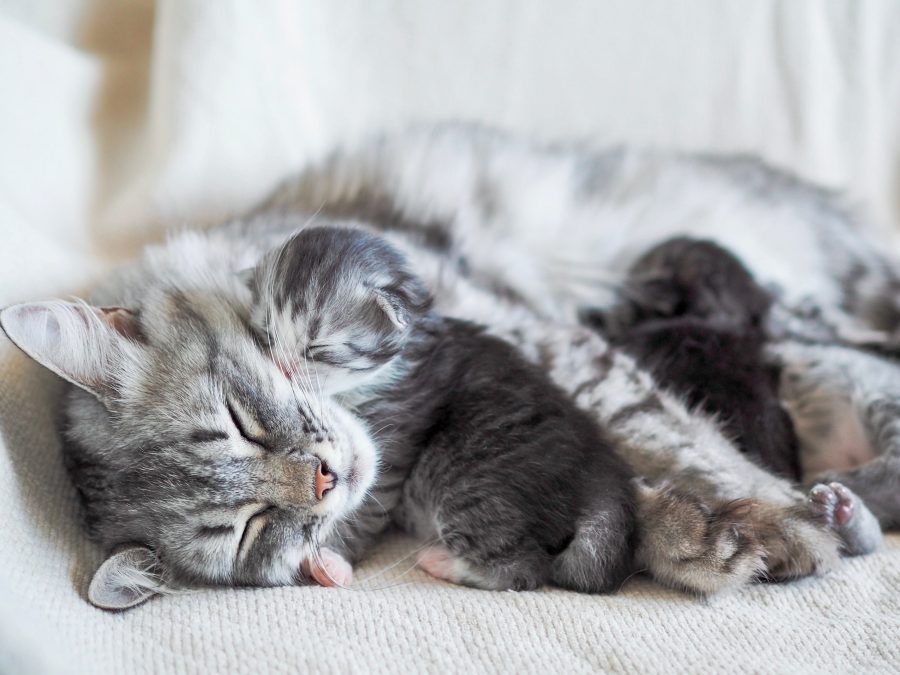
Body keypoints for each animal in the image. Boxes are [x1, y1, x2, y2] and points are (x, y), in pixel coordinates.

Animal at [250, 226, 636, 592]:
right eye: (267, 334)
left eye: (315, 348)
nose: (282, 369)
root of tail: (602, 476)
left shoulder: (392, 436)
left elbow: (364, 504)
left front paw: (333, 558)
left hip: (469, 482)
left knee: (524, 570)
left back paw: (443, 562)